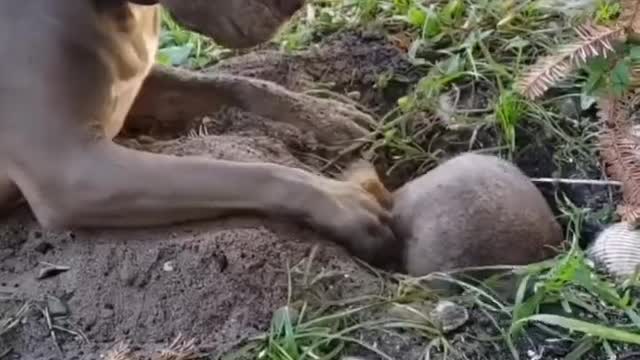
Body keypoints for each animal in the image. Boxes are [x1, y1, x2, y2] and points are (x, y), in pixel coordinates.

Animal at [0, 0, 396, 264]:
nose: (296, 4)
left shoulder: (139, 83)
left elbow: (234, 84)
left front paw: (328, 116)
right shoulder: (72, 170)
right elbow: (235, 172)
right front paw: (342, 201)